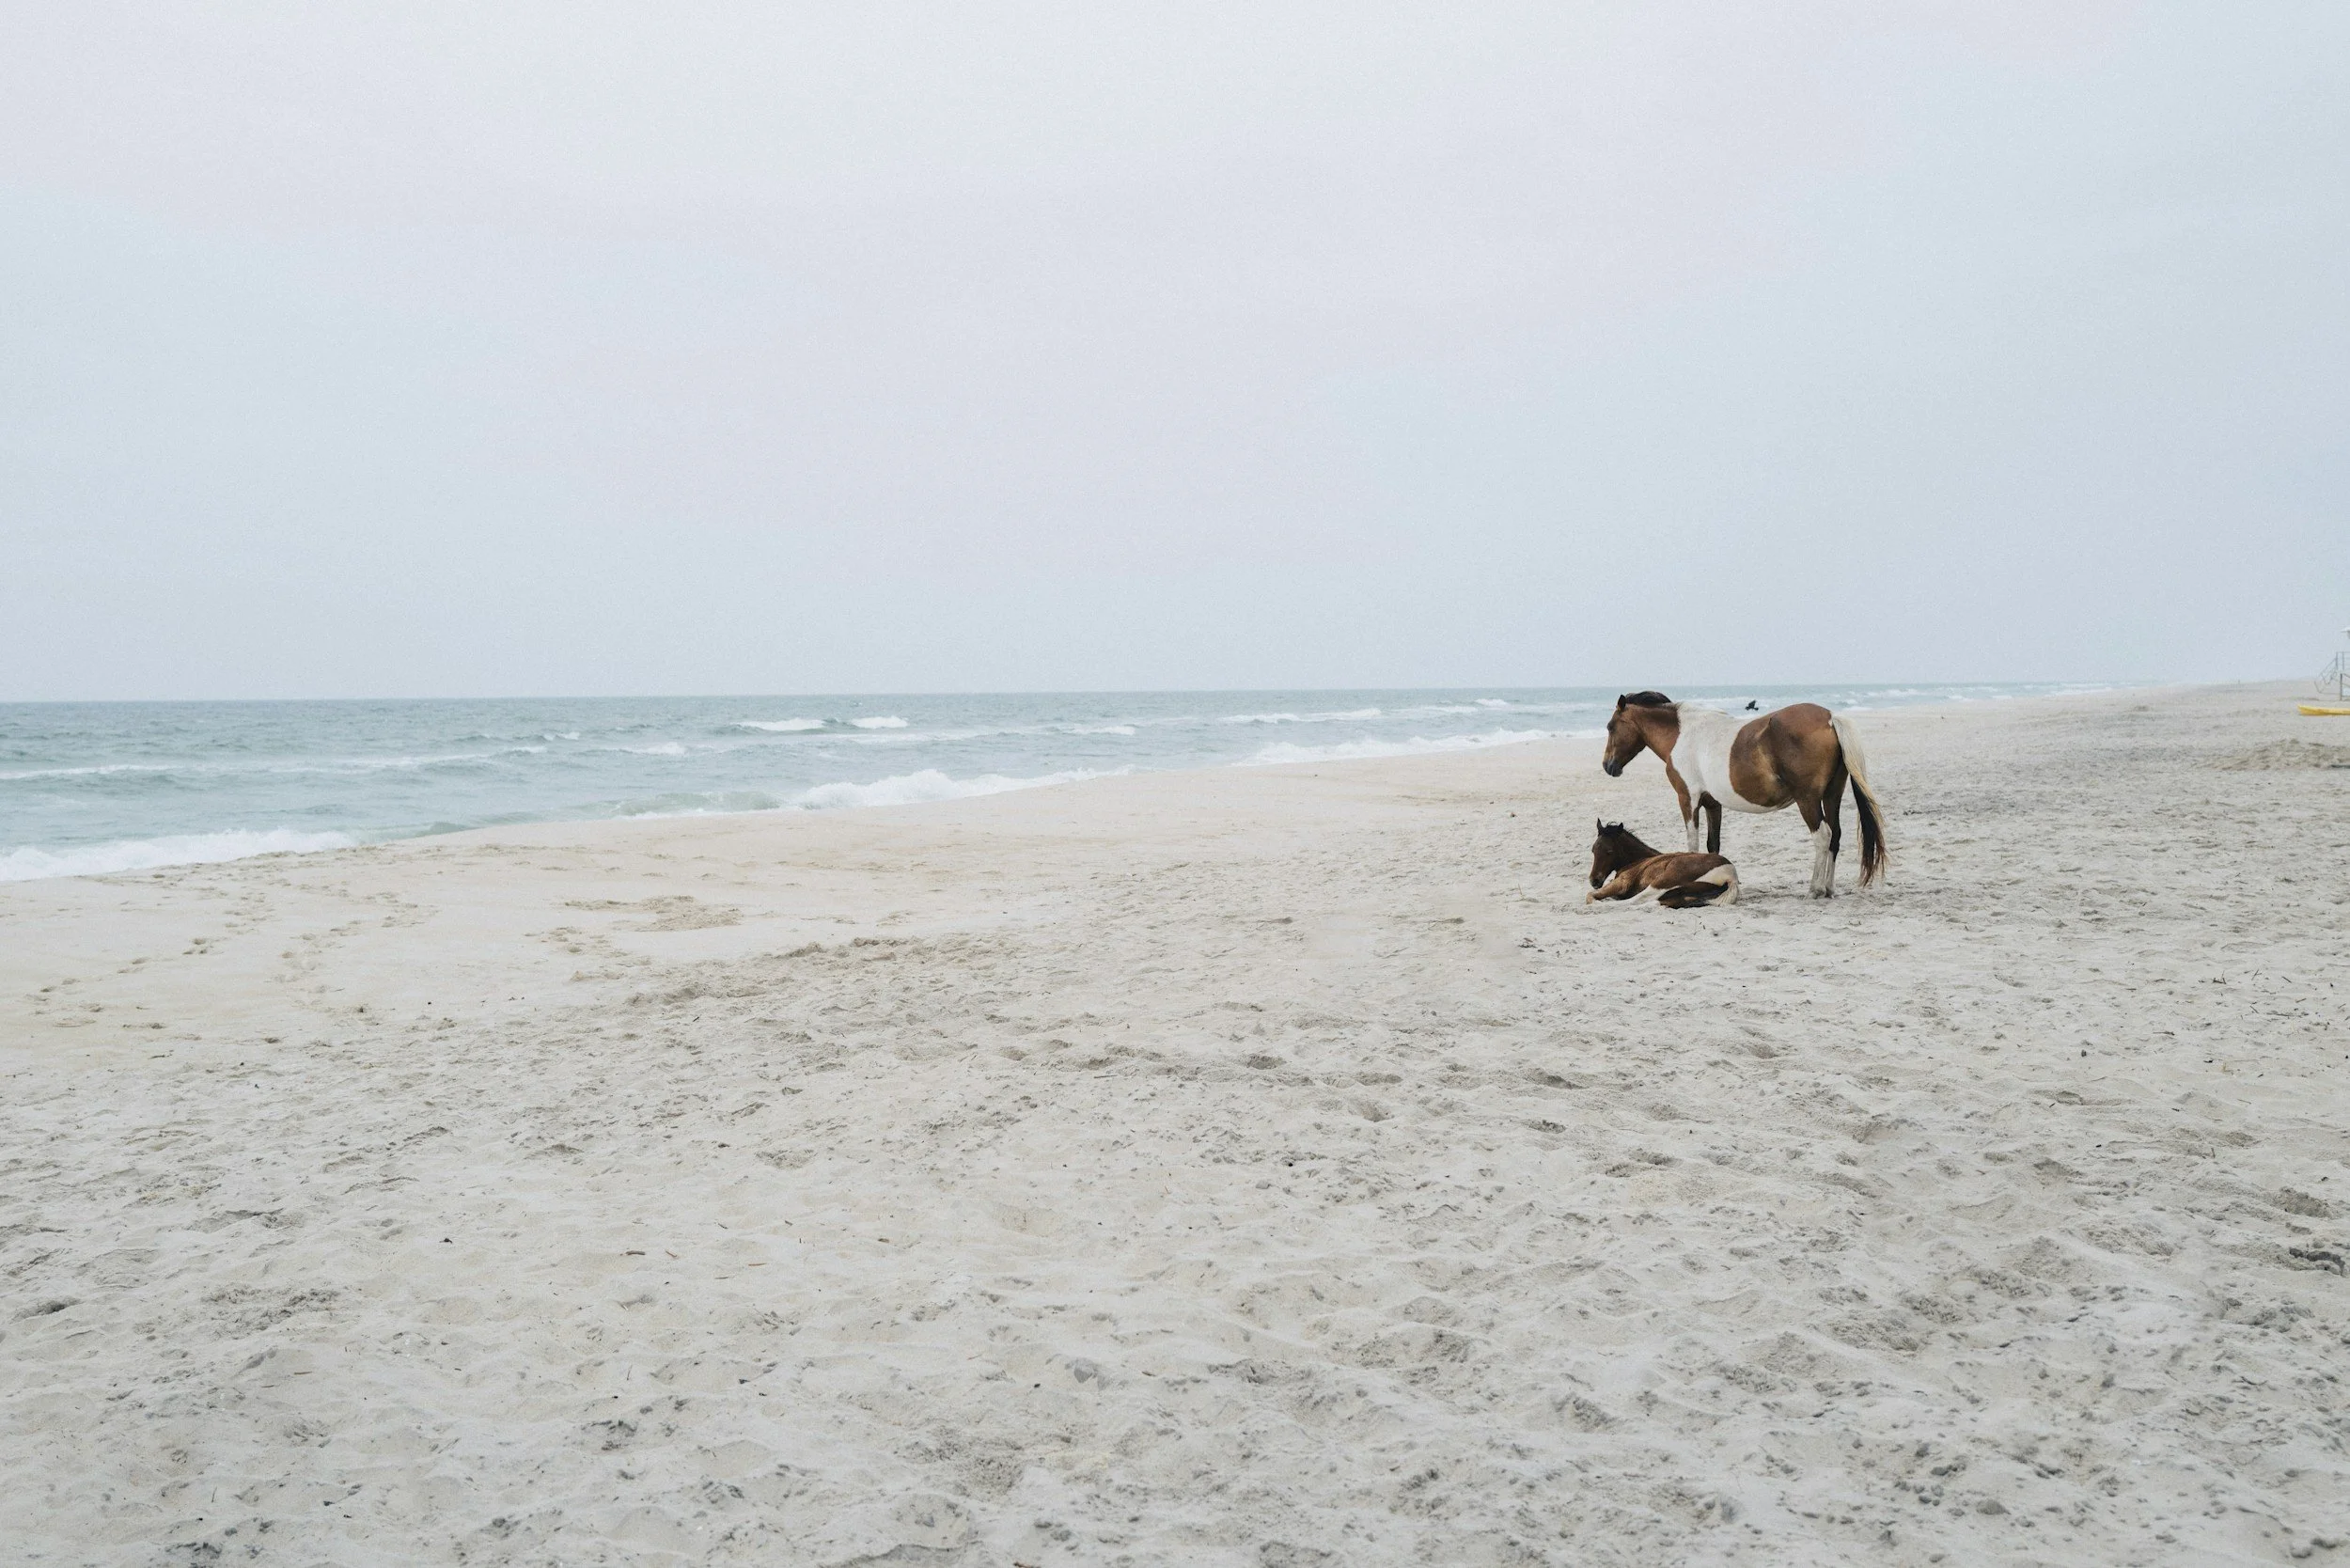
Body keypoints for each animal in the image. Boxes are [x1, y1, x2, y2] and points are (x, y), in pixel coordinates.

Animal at [1586, 820, 1739, 908]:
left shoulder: (1623, 882)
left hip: (1664, 881)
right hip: (1682, 895)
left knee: (1636, 901)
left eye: (1609, 851)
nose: (1594, 881)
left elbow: (1591, 895)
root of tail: (1731, 875)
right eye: (1593, 850)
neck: (1639, 859)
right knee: (1654, 903)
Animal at [1601, 692, 1887, 898]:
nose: (1608, 766)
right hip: (1832, 795)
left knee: (1823, 836)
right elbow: (1712, 845)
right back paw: (1828, 888)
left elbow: (1692, 844)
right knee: (1835, 836)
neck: (1682, 735)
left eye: (1611, 727)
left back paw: (1815, 889)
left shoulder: (1687, 799)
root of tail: (1829, 717)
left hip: (1808, 800)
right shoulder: (1712, 804)